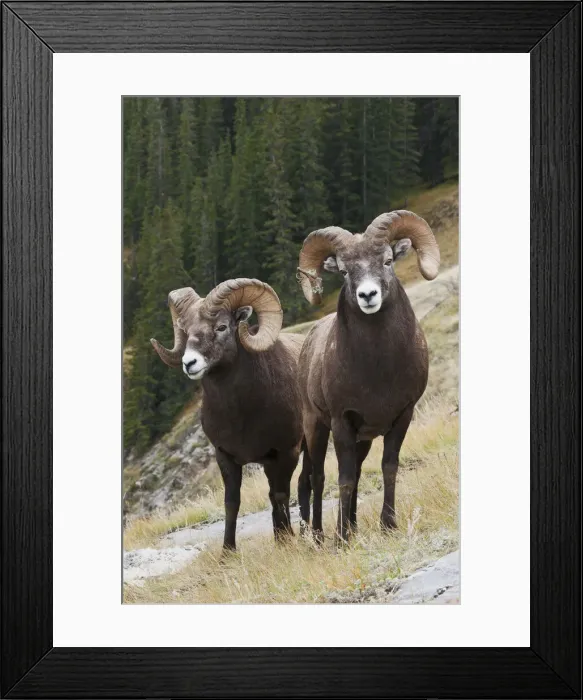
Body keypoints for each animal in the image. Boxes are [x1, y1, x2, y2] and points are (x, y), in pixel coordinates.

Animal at [151, 278, 305, 552]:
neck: (241, 415)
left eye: (222, 327)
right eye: (186, 330)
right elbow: (232, 503)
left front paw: (287, 542)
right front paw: (228, 552)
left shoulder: (288, 452)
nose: (190, 363)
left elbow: (281, 495)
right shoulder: (226, 457)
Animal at [295, 211, 440, 543]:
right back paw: (321, 536)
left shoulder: (401, 416)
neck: (377, 371)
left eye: (387, 260)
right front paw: (342, 539)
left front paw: (388, 525)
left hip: (362, 440)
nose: (368, 295)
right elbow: (344, 479)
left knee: (355, 473)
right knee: (317, 477)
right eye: (345, 271)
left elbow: (388, 468)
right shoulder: (342, 422)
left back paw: (352, 526)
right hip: (316, 427)